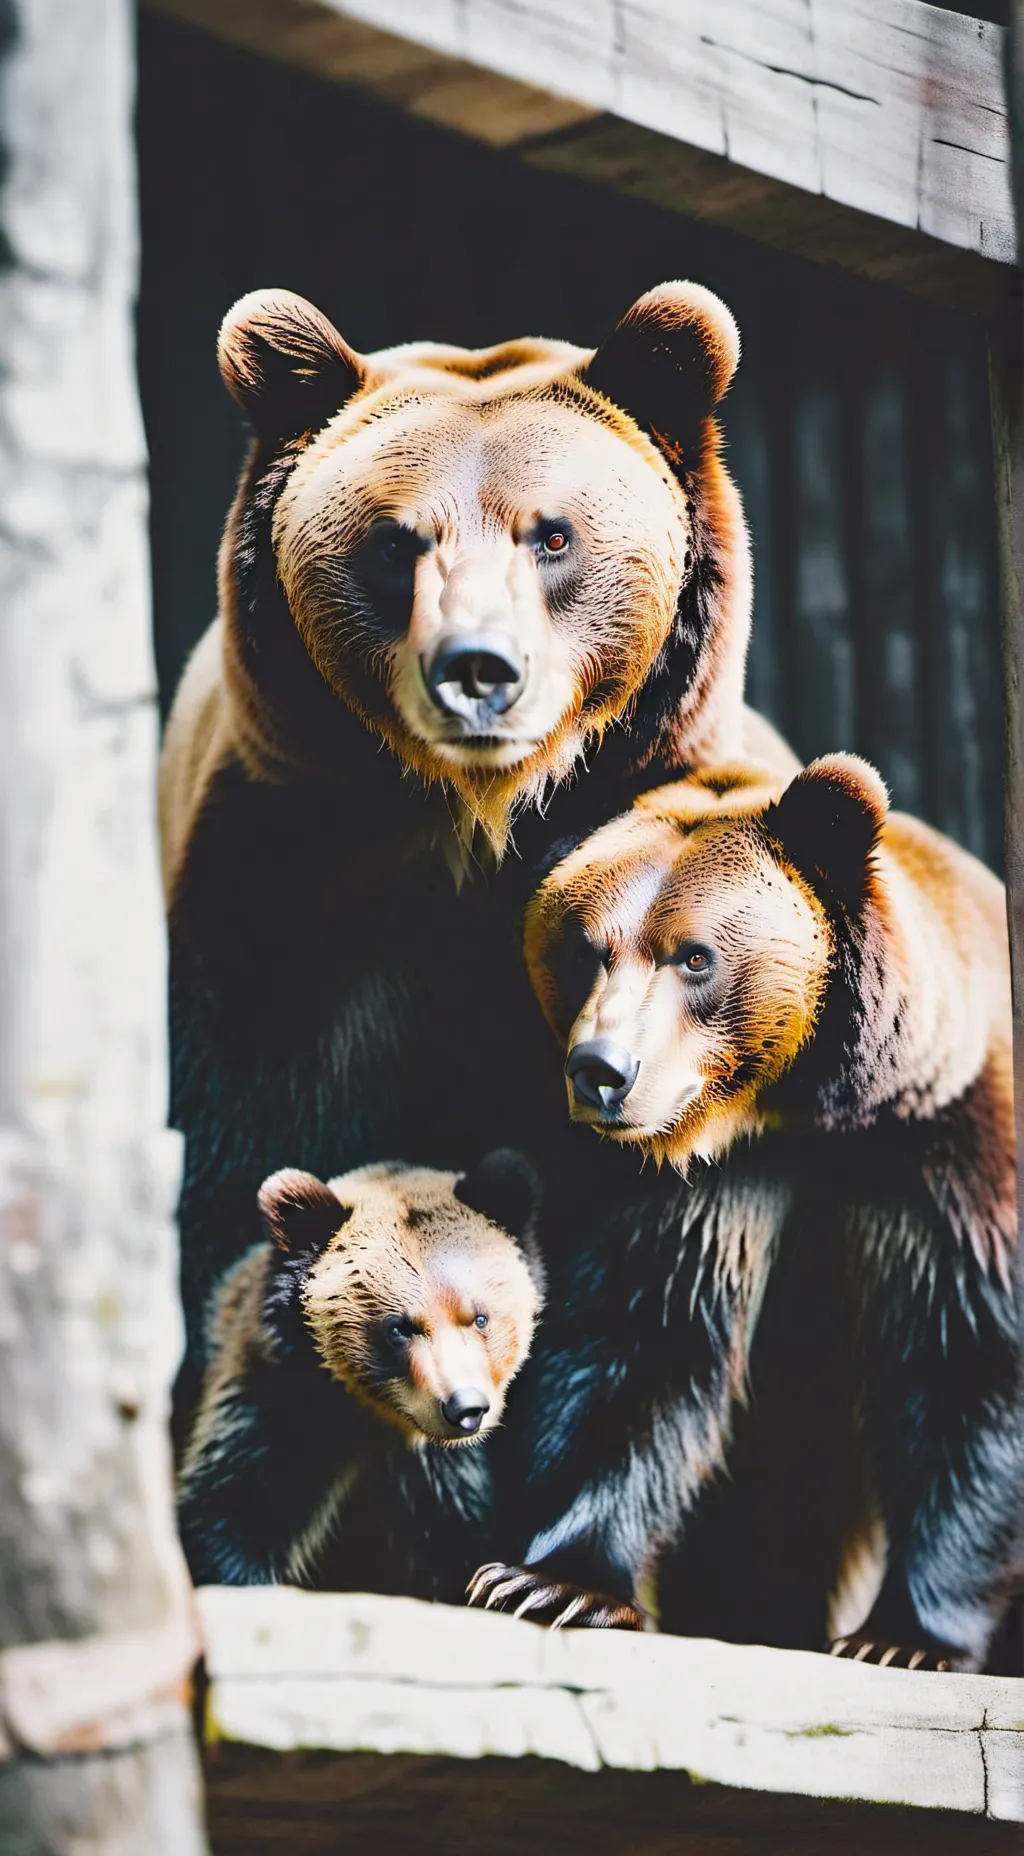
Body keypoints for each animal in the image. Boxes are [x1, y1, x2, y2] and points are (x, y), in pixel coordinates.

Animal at [178, 1150, 543, 1590]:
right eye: (399, 1327)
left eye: (479, 1318)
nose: (465, 1407)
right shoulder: (272, 1406)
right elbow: (232, 1511)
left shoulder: (443, 1478)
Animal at [468, 756, 1021, 1670]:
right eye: (584, 950)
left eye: (694, 955)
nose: (601, 1070)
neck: (805, 1115)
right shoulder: (691, 1188)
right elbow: (638, 1338)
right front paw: (552, 1581)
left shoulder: (945, 1153)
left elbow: (967, 1360)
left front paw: (903, 1638)